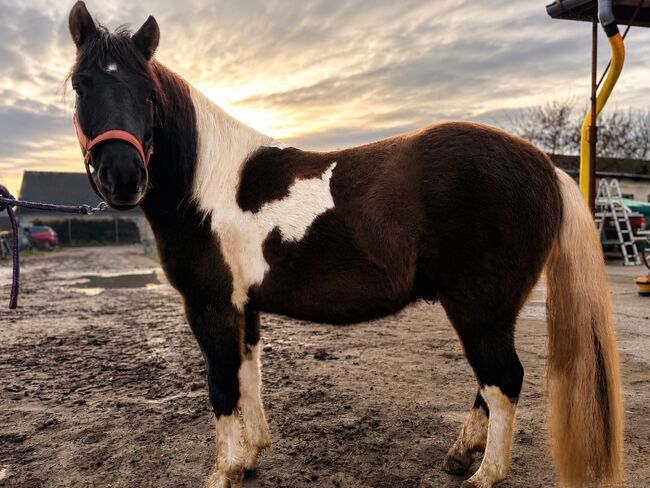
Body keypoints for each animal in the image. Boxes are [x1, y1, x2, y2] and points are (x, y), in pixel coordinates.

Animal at [66, 2, 624, 487]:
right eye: (80, 85)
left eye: (147, 92)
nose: (122, 178)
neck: (208, 185)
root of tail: (546, 167)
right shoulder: (245, 307)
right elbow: (250, 376)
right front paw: (250, 458)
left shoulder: (211, 306)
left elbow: (223, 385)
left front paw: (222, 473)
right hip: (488, 310)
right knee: (490, 384)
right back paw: (461, 454)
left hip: (478, 306)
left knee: (503, 380)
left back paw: (485, 474)